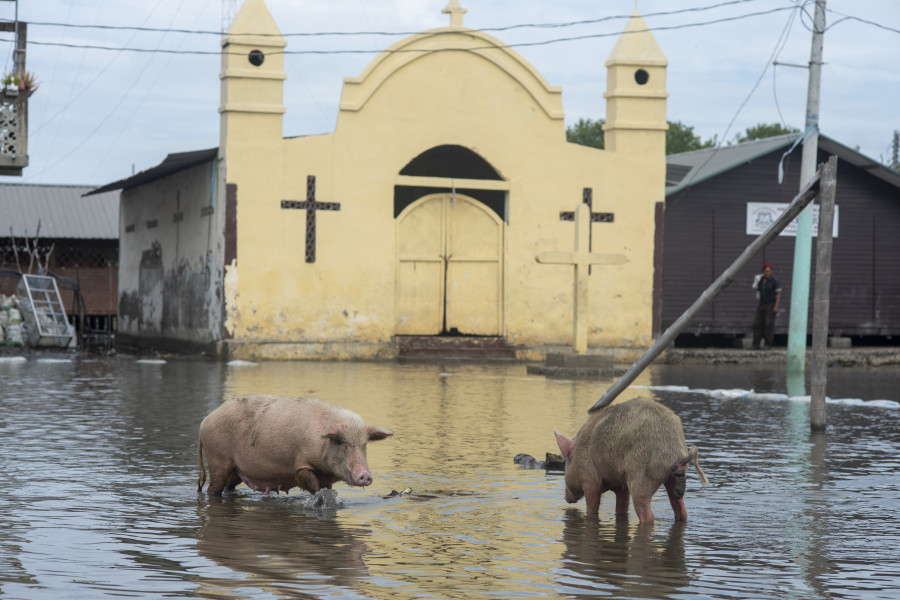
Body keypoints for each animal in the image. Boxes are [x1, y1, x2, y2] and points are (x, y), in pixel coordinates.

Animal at [199, 394, 392, 496]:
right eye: (342, 442)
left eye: (364, 444)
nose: (366, 475)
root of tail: (204, 422)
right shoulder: (300, 465)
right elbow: (311, 484)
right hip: (217, 459)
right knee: (213, 488)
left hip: (236, 470)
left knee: (229, 485)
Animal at [552, 398, 708, 520]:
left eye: (566, 463)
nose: (565, 497)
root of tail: (677, 455)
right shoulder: (622, 484)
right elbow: (621, 506)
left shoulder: (590, 477)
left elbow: (592, 506)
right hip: (673, 479)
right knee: (681, 510)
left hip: (642, 477)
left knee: (647, 513)